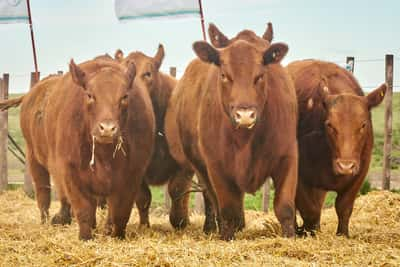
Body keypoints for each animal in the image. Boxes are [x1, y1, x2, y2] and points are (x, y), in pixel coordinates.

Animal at [1, 59, 155, 241]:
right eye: (89, 95)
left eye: (125, 96)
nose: (107, 128)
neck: (104, 156)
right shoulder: (71, 173)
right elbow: (84, 210)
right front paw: (85, 237)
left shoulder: (132, 176)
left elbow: (120, 213)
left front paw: (115, 236)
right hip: (34, 157)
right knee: (43, 192)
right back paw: (48, 220)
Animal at [115, 44, 214, 232]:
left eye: (148, 73)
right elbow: (143, 197)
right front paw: (144, 226)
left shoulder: (184, 165)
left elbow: (176, 190)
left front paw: (179, 221)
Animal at [164, 39, 298, 241]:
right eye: (224, 75)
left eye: (260, 76)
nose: (245, 116)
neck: (245, 140)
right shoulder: (217, 167)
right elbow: (227, 209)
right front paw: (227, 236)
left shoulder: (287, 157)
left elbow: (285, 207)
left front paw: (289, 237)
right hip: (201, 168)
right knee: (213, 200)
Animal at [288, 59, 388, 238]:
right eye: (329, 125)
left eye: (363, 125)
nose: (346, 166)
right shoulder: (299, 176)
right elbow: (310, 211)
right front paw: (308, 233)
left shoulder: (360, 173)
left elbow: (344, 207)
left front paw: (343, 234)